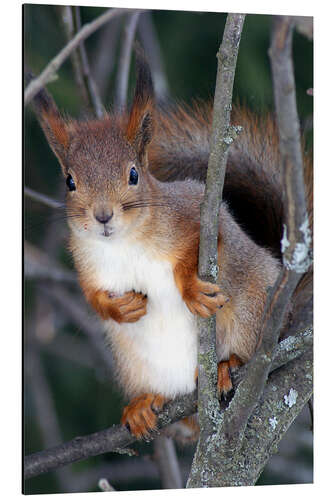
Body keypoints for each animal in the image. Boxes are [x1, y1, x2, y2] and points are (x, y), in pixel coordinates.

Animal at [28, 51, 312, 442]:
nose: (102, 216)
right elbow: (92, 294)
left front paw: (191, 288)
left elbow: (202, 246)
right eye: (70, 181)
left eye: (133, 174)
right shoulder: (87, 261)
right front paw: (118, 308)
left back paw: (226, 367)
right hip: (135, 364)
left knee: (247, 352)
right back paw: (144, 406)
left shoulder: (197, 210)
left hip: (252, 313)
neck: (124, 243)